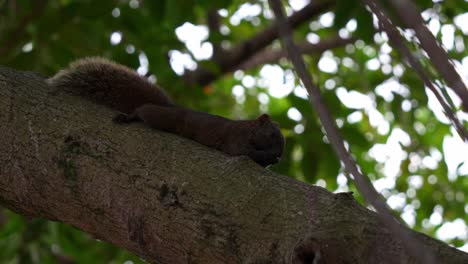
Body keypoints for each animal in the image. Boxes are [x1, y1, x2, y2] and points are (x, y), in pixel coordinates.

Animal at [49, 57, 288, 167]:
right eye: (271, 135)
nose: (279, 155)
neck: (249, 129)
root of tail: (172, 107)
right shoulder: (236, 138)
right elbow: (243, 152)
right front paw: (266, 156)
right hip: (162, 117)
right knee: (143, 111)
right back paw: (129, 116)